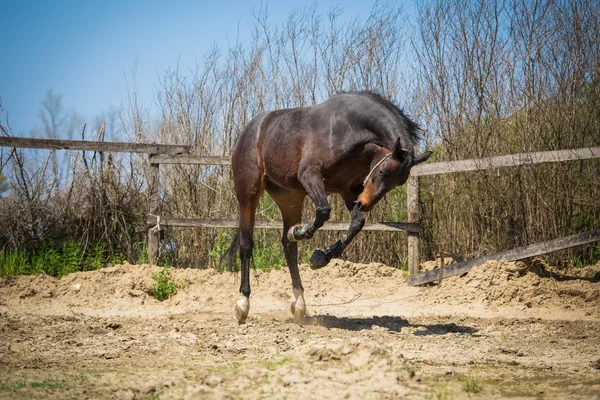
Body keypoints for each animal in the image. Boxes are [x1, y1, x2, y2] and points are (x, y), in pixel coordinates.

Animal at [223, 90, 428, 322]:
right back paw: (243, 304)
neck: (349, 128)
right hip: (248, 194)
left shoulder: (349, 189)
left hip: (290, 198)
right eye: (383, 172)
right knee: (246, 245)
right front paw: (302, 232)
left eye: (398, 183)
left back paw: (299, 303)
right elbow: (323, 211)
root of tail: (249, 130)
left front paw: (320, 257)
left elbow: (356, 224)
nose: (364, 203)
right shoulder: (309, 174)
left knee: (288, 247)